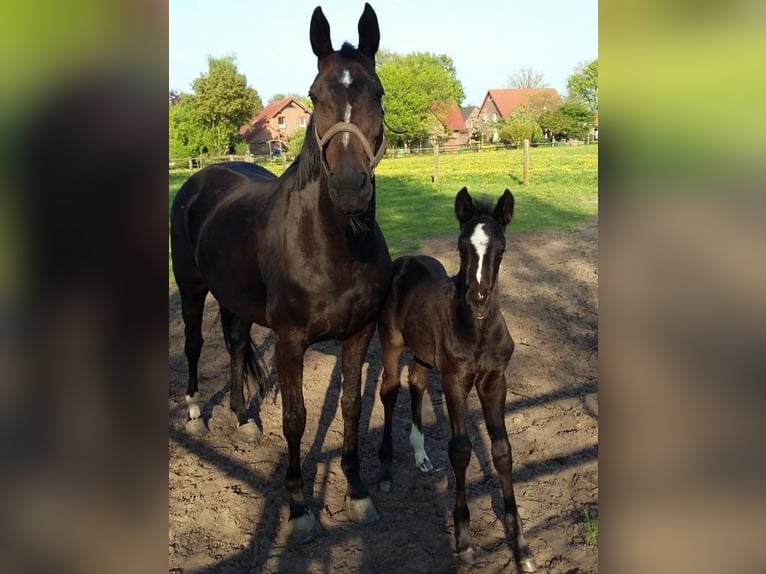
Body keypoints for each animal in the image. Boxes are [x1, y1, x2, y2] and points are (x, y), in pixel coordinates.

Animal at [172, 3, 392, 544]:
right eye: (314, 93)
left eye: (377, 92)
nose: (351, 188)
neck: (333, 247)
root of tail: (200, 180)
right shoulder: (291, 341)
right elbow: (296, 418)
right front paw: (299, 508)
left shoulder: (360, 334)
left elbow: (352, 407)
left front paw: (358, 493)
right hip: (191, 289)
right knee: (194, 345)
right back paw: (196, 416)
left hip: (233, 297)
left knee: (233, 344)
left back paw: (243, 420)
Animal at [378, 189, 540, 572]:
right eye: (461, 247)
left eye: (501, 248)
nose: (478, 300)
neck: (477, 329)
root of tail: (406, 260)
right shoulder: (455, 381)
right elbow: (461, 450)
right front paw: (464, 540)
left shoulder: (494, 381)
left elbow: (502, 451)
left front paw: (521, 545)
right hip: (392, 344)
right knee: (389, 391)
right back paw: (386, 471)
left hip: (423, 353)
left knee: (416, 382)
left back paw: (421, 456)